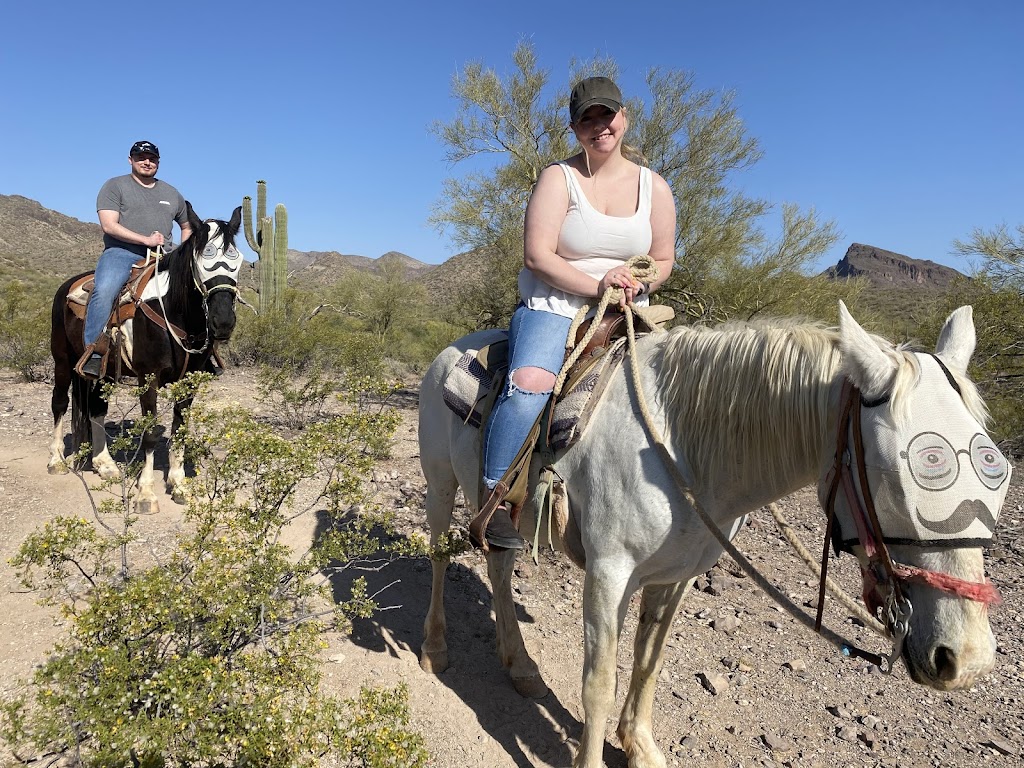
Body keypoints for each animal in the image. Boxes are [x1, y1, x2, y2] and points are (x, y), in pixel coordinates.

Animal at [415, 305, 1007, 768]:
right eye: (896, 476)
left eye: (996, 472)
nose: (968, 660)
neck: (680, 446)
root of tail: (451, 350)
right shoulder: (608, 575)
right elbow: (598, 683)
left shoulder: (676, 576)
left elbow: (648, 663)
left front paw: (639, 746)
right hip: (440, 484)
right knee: (441, 558)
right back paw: (434, 650)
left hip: (504, 516)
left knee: (497, 565)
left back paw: (520, 667)